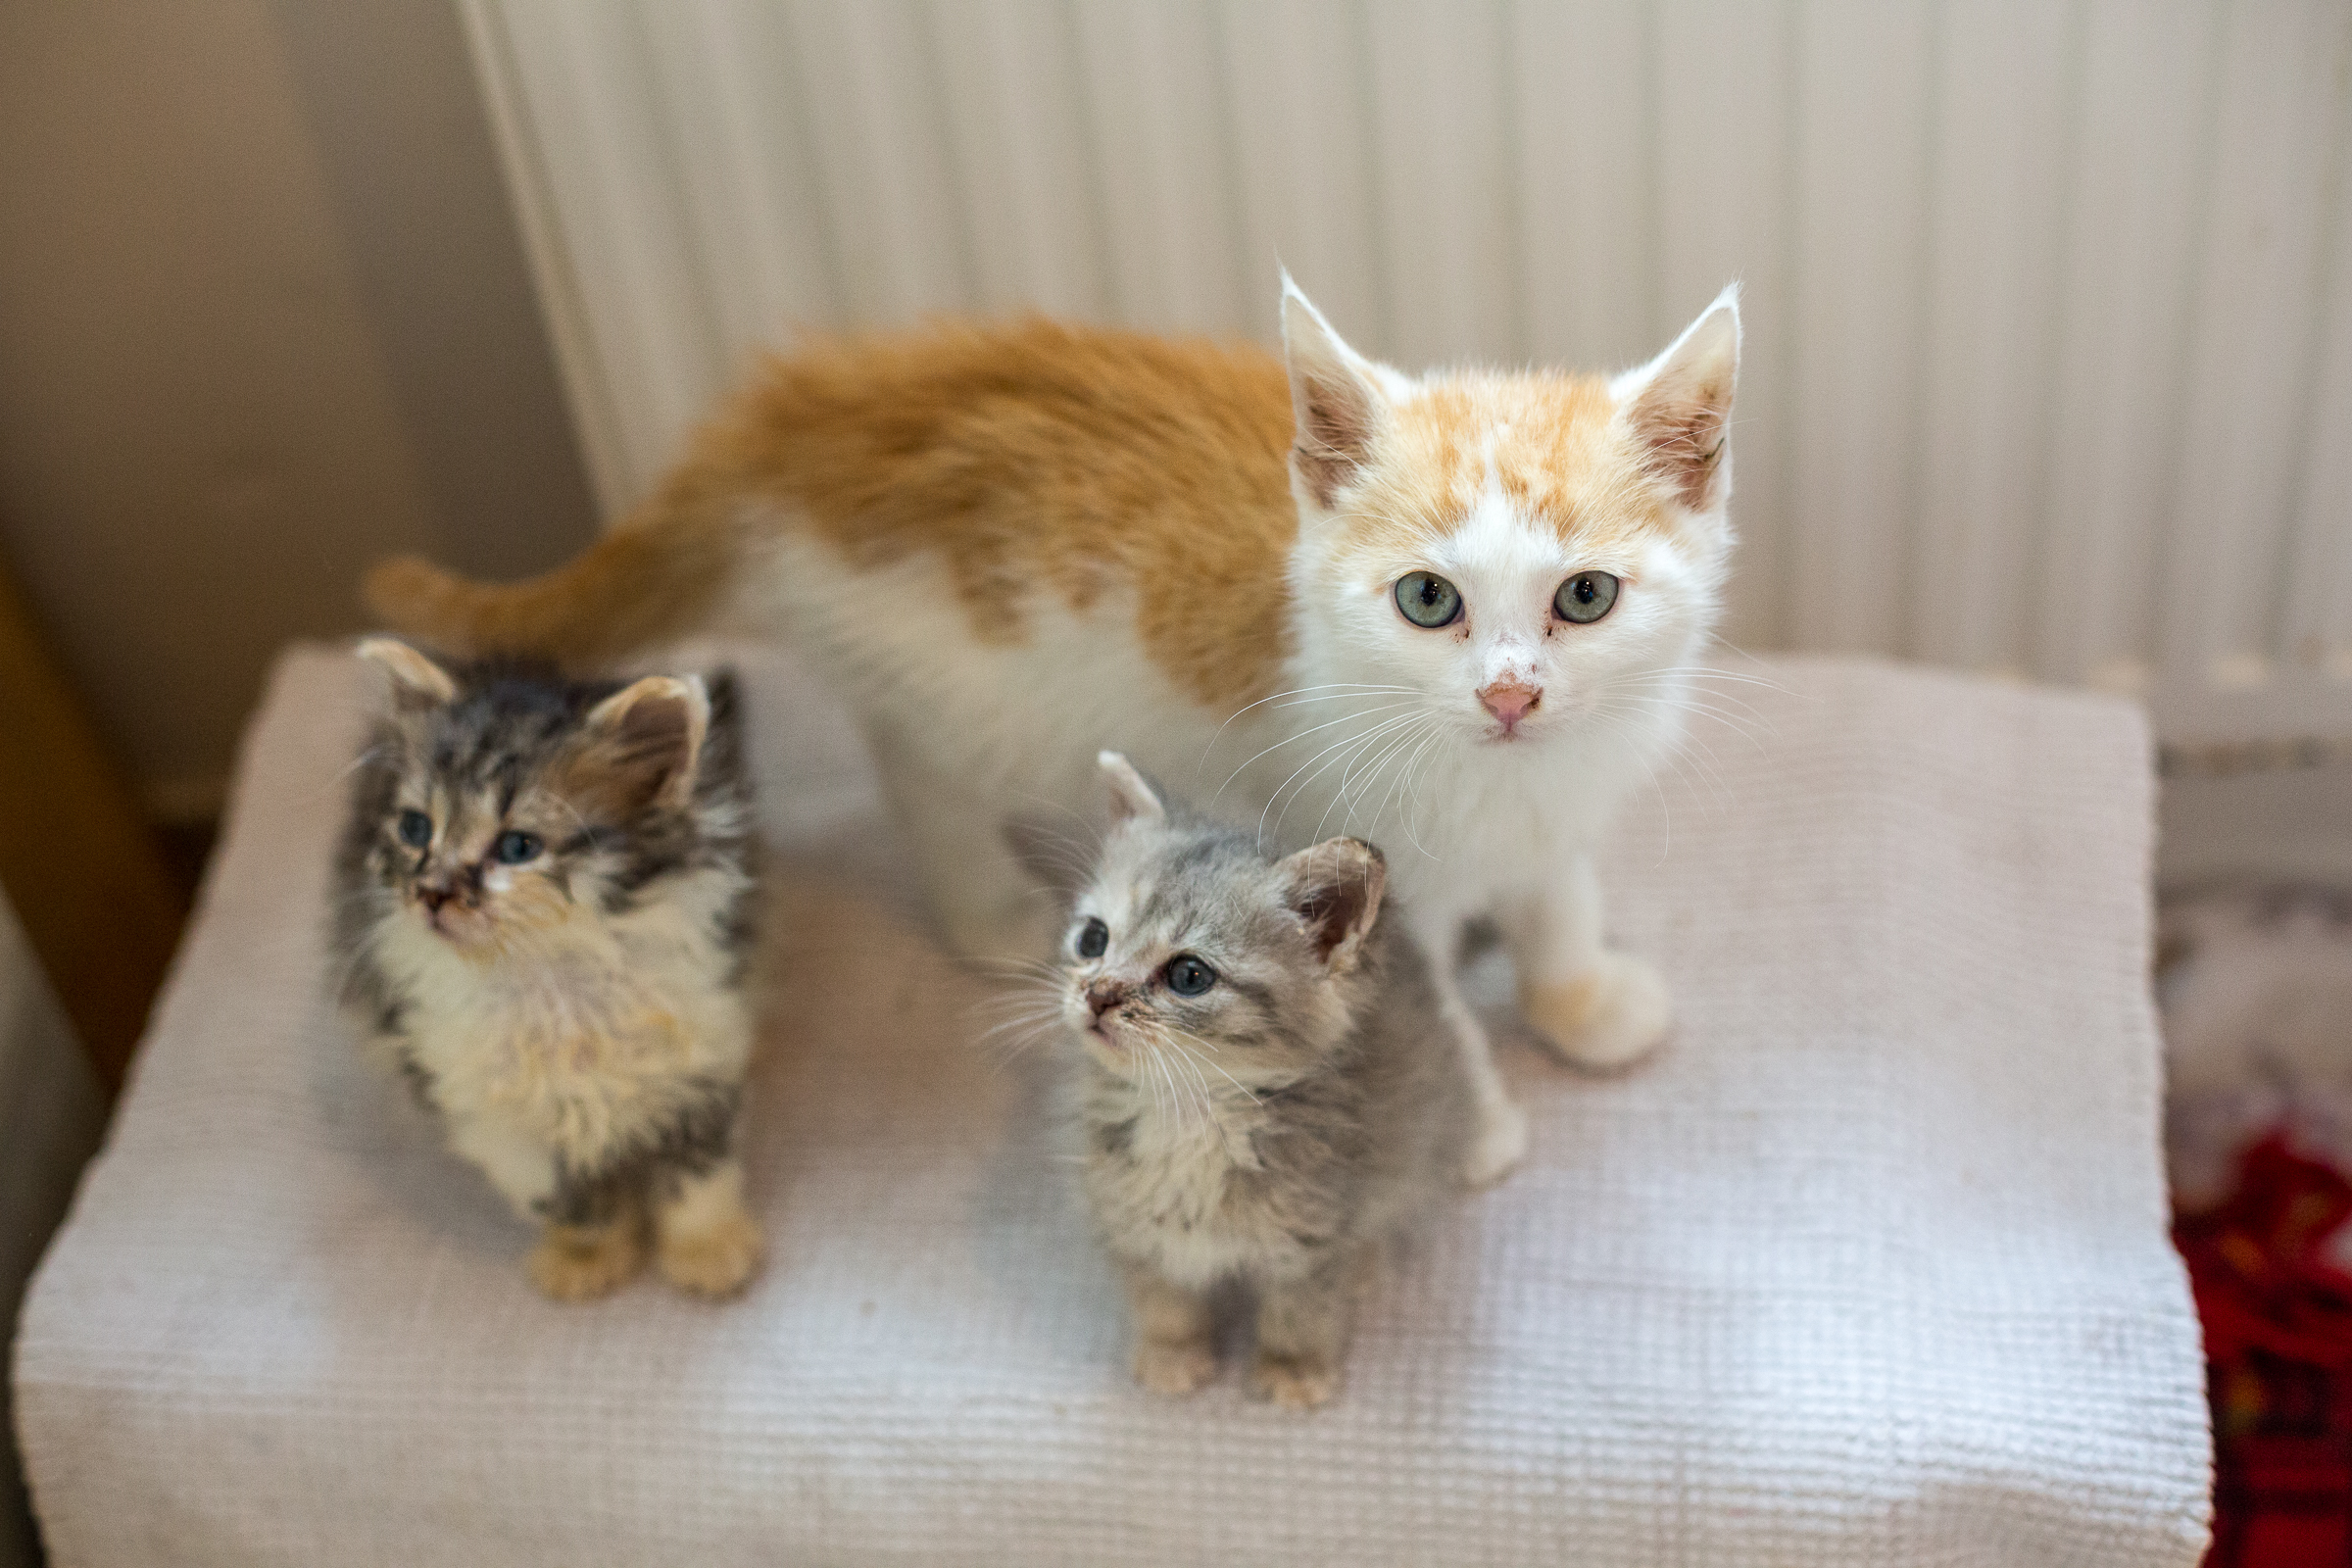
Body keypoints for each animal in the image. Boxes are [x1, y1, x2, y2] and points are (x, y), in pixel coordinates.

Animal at [333, 639, 761, 1298]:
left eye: (518, 847)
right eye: (415, 828)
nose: (430, 893)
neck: (552, 979)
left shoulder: (701, 1058)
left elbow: (698, 1175)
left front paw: (707, 1253)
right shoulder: (490, 1113)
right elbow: (566, 1197)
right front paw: (588, 1258)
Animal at [362, 275, 1731, 1184]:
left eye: (1586, 597)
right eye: (1429, 600)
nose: (1510, 696)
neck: (1497, 777)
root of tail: (802, 408)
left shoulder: (1559, 798)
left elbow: (1559, 885)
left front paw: (1581, 993)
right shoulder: (1358, 843)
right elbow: (1428, 1001)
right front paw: (1483, 1122)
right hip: (950, 686)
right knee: (923, 773)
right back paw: (984, 906)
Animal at [1067, 752, 1467, 1419]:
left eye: (1189, 975)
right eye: (1092, 939)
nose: (1097, 994)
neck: (1192, 1117)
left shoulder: (1315, 1230)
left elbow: (1301, 1310)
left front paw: (1293, 1370)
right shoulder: (1130, 1219)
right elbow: (1163, 1298)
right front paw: (1173, 1355)